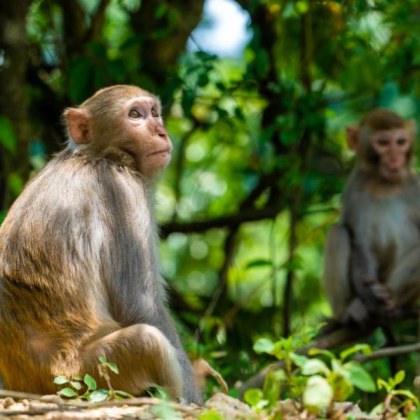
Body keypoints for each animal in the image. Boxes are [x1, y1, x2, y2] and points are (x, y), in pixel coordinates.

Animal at [0, 85, 202, 404]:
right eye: (135, 115)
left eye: (154, 112)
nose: (160, 131)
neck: (98, 155)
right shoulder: (123, 190)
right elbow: (140, 306)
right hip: (87, 374)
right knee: (148, 341)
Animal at [324, 107, 420, 324]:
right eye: (383, 143)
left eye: (400, 142)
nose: (395, 158)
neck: (385, 184)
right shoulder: (354, 190)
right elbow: (359, 241)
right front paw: (369, 298)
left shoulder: (416, 185)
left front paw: (384, 298)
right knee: (337, 233)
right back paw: (349, 310)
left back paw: (392, 300)